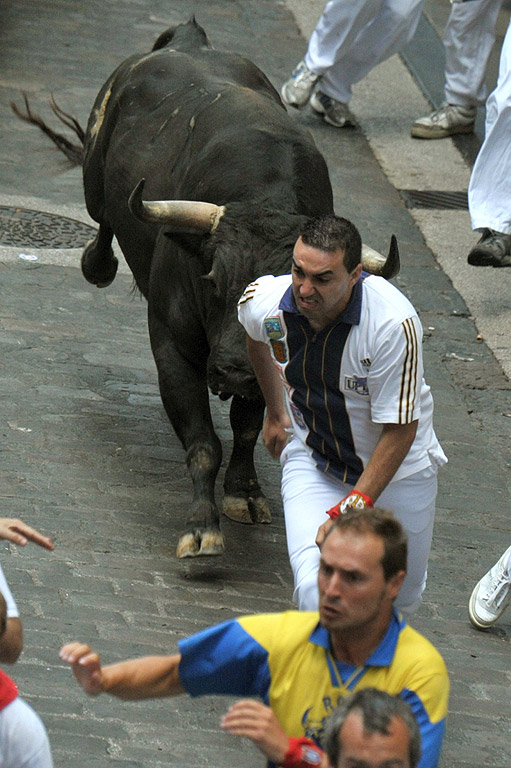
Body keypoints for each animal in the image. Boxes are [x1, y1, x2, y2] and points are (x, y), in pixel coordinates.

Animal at [13, 18, 400, 560]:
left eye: (294, 297)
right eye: (213, 279)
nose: (234, 369)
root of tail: (188, 39)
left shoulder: (274, 365)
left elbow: (245, 427)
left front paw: (244, 494)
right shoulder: (171, 346)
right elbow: (202, 443)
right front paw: (201, 525)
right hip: (94, 178)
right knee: (102, 217)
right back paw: (97, 263)